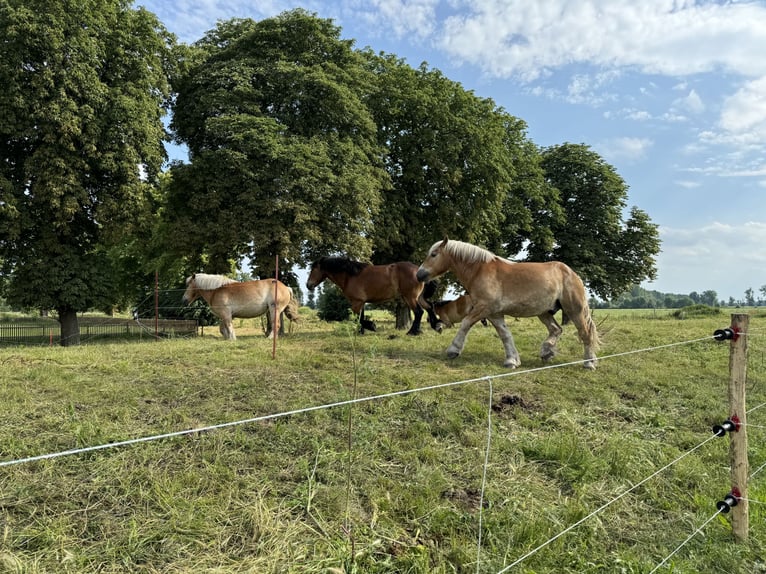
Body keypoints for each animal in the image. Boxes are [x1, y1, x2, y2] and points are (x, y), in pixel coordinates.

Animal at [306, 258, 438, 338]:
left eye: (314, 269)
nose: (308, 285)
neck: (350, 276)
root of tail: (418, 271)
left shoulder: (356, 302)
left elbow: (358, 318)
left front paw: (370, 326)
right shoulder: (361, 302)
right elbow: (360, 317)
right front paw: (361, 331)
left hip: (410, 297)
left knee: (419, 312)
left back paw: (412, 332)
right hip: (418, 297)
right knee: (429, 307)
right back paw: (436, 326)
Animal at [416, 240, 604, 372]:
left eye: (434, 254)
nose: (419, 275)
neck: (479, 270)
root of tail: (572, 273)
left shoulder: (483, 309)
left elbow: (465, 324)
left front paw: (453, 350)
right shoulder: (494, 314)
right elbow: (505, 335)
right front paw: (512, 361)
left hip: (574, 310)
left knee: (585, 333)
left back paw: (589, 363)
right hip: (544, 312)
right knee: (556, 329)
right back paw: (547, 352)